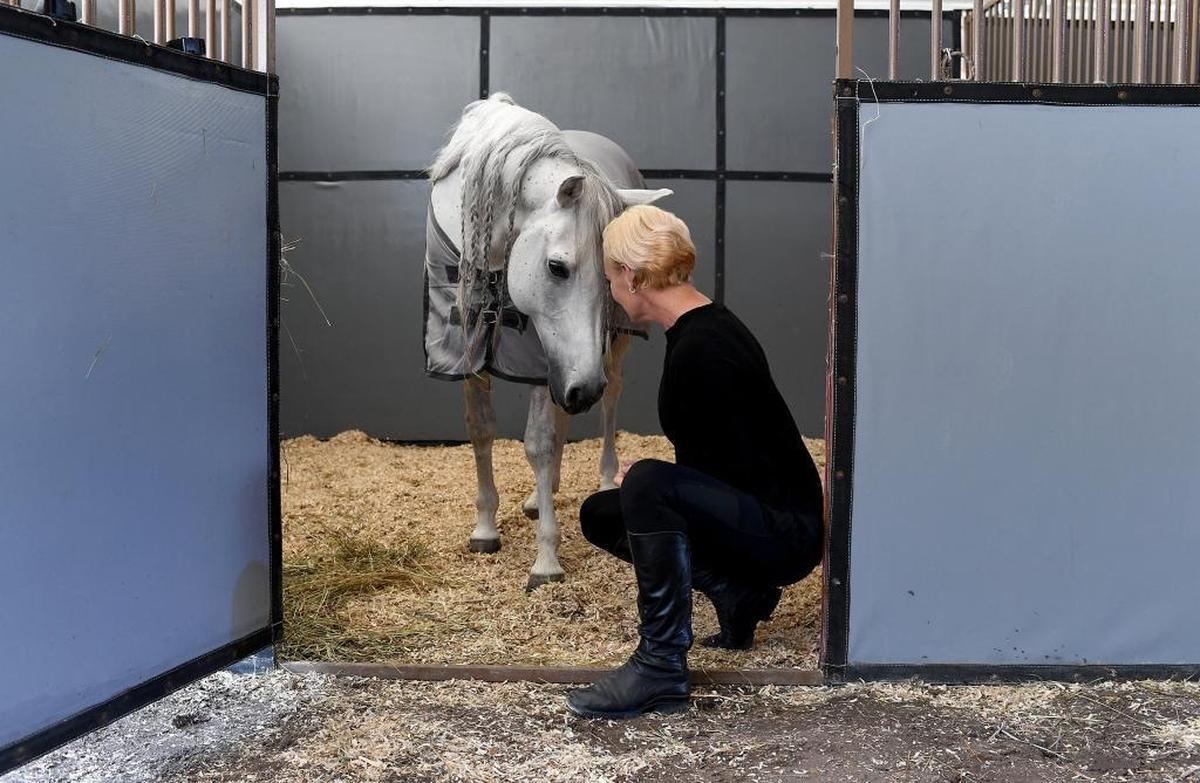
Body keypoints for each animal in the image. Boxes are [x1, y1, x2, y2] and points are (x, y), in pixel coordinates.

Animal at [423, 93, 670, 590]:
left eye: (613, 274)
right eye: (557, 267)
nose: (585, 389)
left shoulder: (543, 357)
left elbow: (537, 440)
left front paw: (546, 560)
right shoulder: (468, 345)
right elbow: (481, 428)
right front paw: (486, 528)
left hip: (607, 350)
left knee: (608, 399)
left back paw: (604, 481)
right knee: (564, 412)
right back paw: (543, 497)